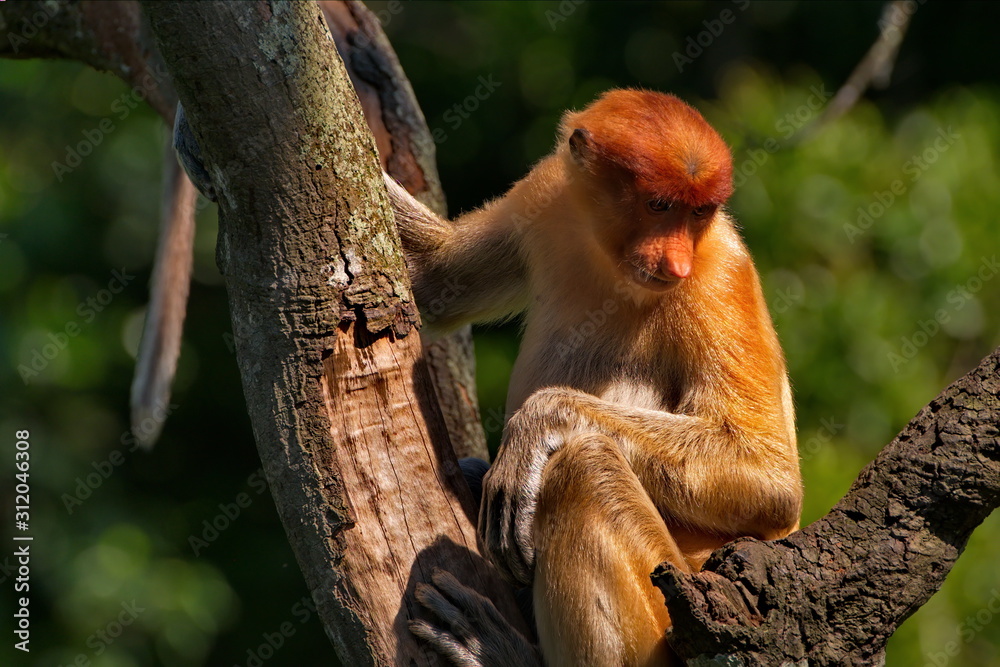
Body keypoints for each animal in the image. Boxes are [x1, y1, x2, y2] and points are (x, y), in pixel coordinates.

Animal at [384, 88, 803, 666]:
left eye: (698, 212)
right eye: (658, 205)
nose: (675, 264)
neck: (609, 257)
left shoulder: (718, 275)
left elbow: (770, 476)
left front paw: (538, 424)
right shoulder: (548, 191)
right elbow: (434, 278)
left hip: (662, 617)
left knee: (583, 469)